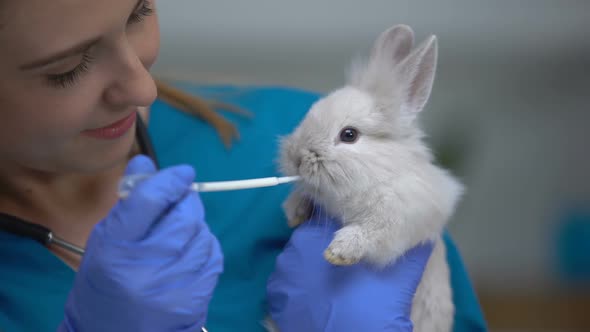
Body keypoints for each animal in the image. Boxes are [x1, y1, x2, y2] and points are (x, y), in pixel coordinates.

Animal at [276, 24, 464, 330]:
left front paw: (338, 251)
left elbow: (371, 232)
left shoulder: (403, 214)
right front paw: (295, 212)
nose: (296, 158)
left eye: (349, 135)